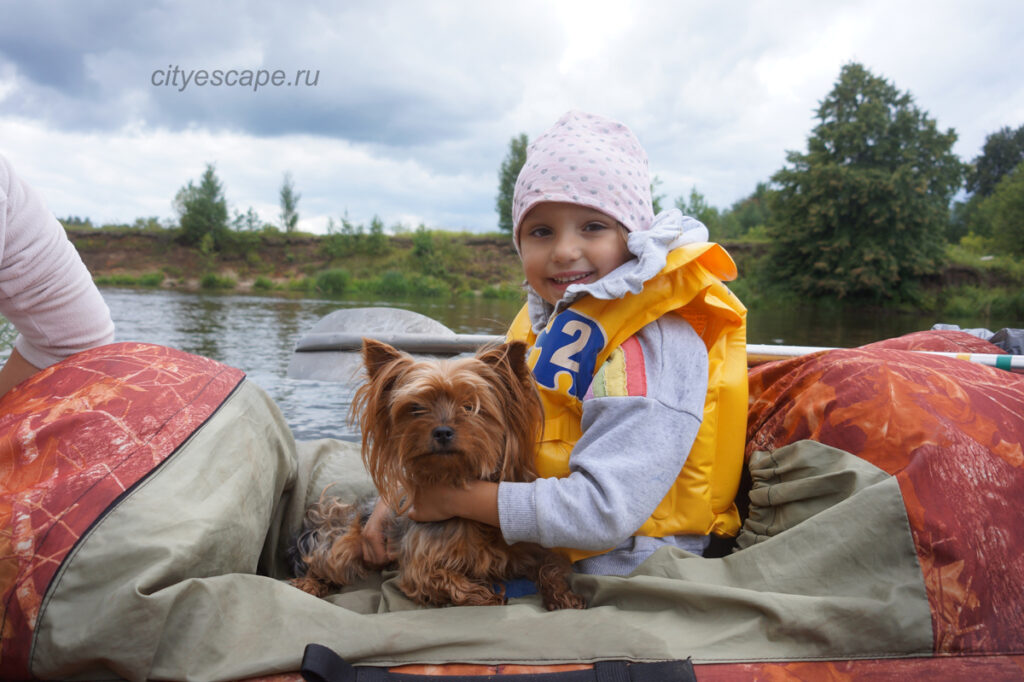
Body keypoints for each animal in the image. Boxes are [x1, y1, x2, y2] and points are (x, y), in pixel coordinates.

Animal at [292, 337, 589, 606]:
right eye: (416, 408)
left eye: (471, 407)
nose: (442, 431)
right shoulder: (420, 565)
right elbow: (445, 580)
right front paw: (487, 595)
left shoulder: (531, 548)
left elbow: (551, 566)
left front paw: (563, 596)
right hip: (344, 544)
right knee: (323, 562)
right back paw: (309, 584)